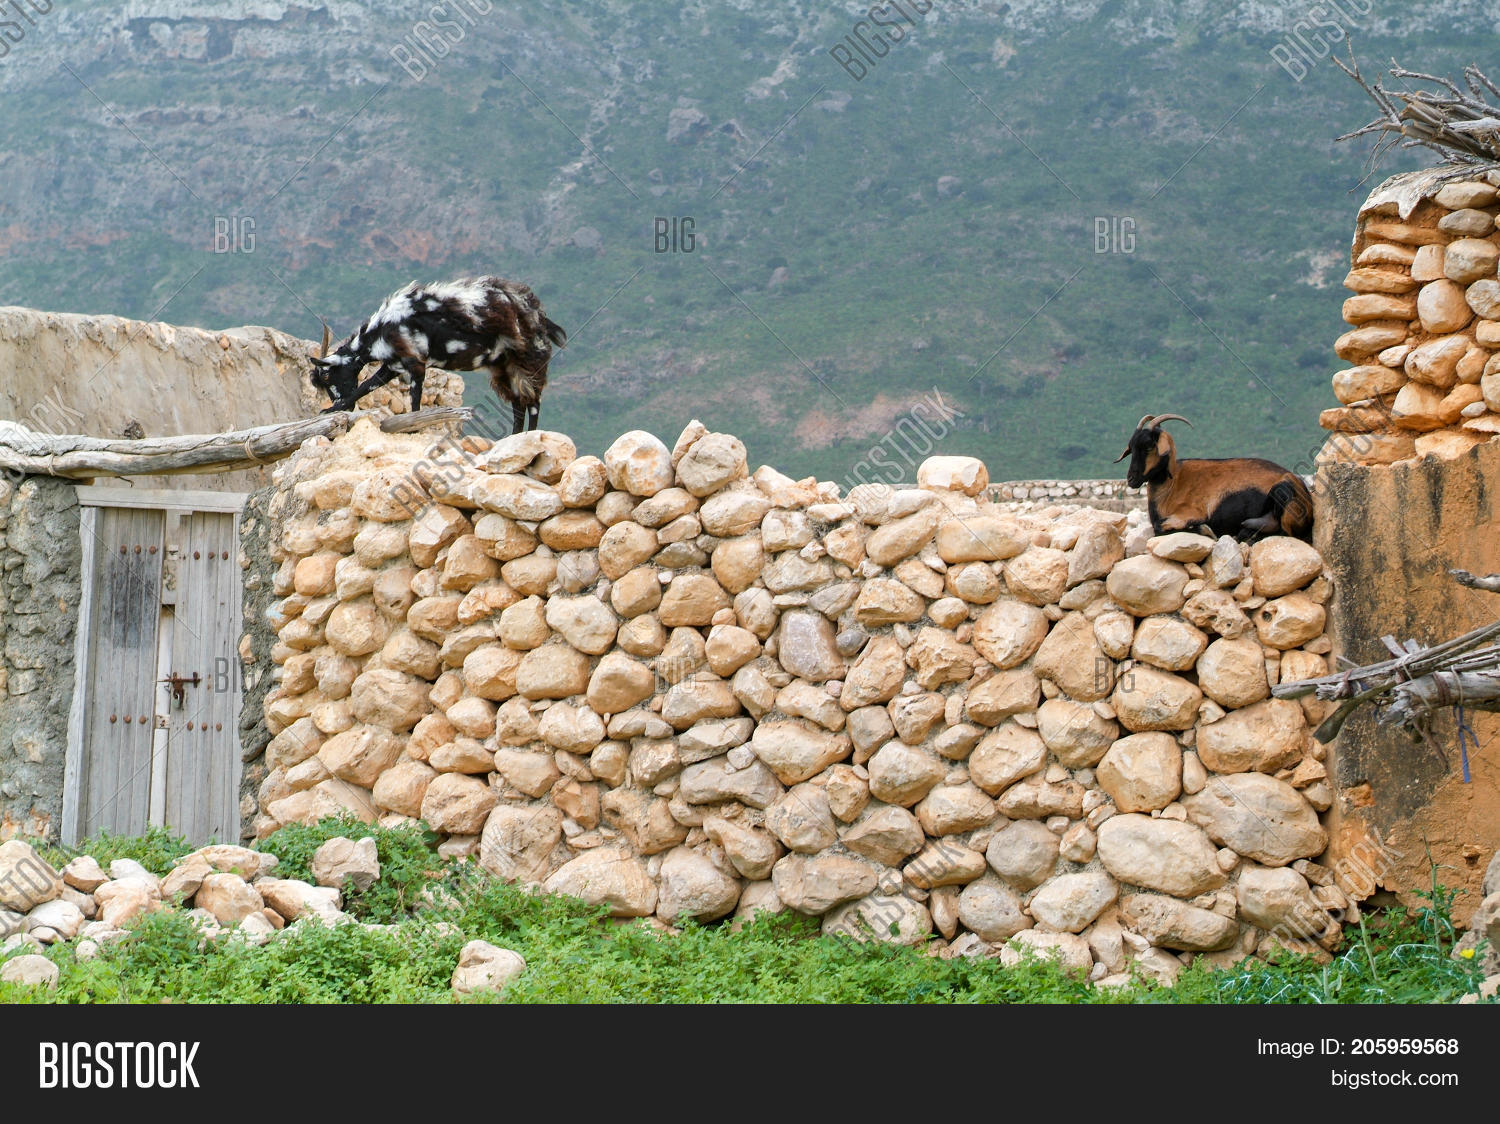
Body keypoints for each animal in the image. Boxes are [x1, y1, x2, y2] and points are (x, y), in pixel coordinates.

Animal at [309, 276, 566, 434]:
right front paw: (331, 410)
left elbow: (414, 400)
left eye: (327, 376)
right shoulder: (393, 365)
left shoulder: (415, 363)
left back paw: (529, 436)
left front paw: (412, 426)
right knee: (518, 403)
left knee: (533, 401)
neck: (382, 329)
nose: (341, 404)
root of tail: (539, 314)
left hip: (529, 359)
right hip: (503, 366)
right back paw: (512, 437)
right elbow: (366, 386)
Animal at [1115, 413, 1314, 542]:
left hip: (1282, 492)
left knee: (1286, 532)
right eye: (1131, 447)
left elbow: (1162, 527)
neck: (1171, 486)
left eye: (1148, 445)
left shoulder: (1190, 512)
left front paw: (1204, 529)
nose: (1131, 479)